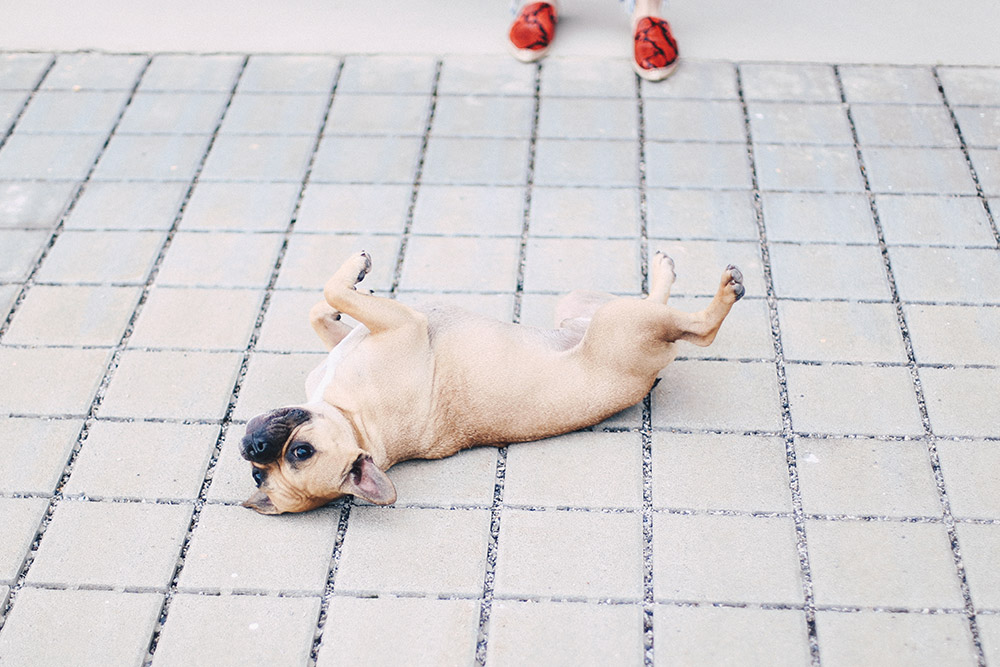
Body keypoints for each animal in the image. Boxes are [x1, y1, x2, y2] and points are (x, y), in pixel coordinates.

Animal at [242, 250, 744, 516]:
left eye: (299, 453)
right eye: (263, 471)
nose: (254, 448)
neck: (355, 422)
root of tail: (649, 377)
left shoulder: (378, 329)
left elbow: (325, 306)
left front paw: (347, 290)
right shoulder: (400, 325)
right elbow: (333, 293)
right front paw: (354, 274)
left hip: (585, 307)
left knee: (662, 310)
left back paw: (665, 274)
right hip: (622, 324)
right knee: (695, 328)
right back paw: (712, 291)